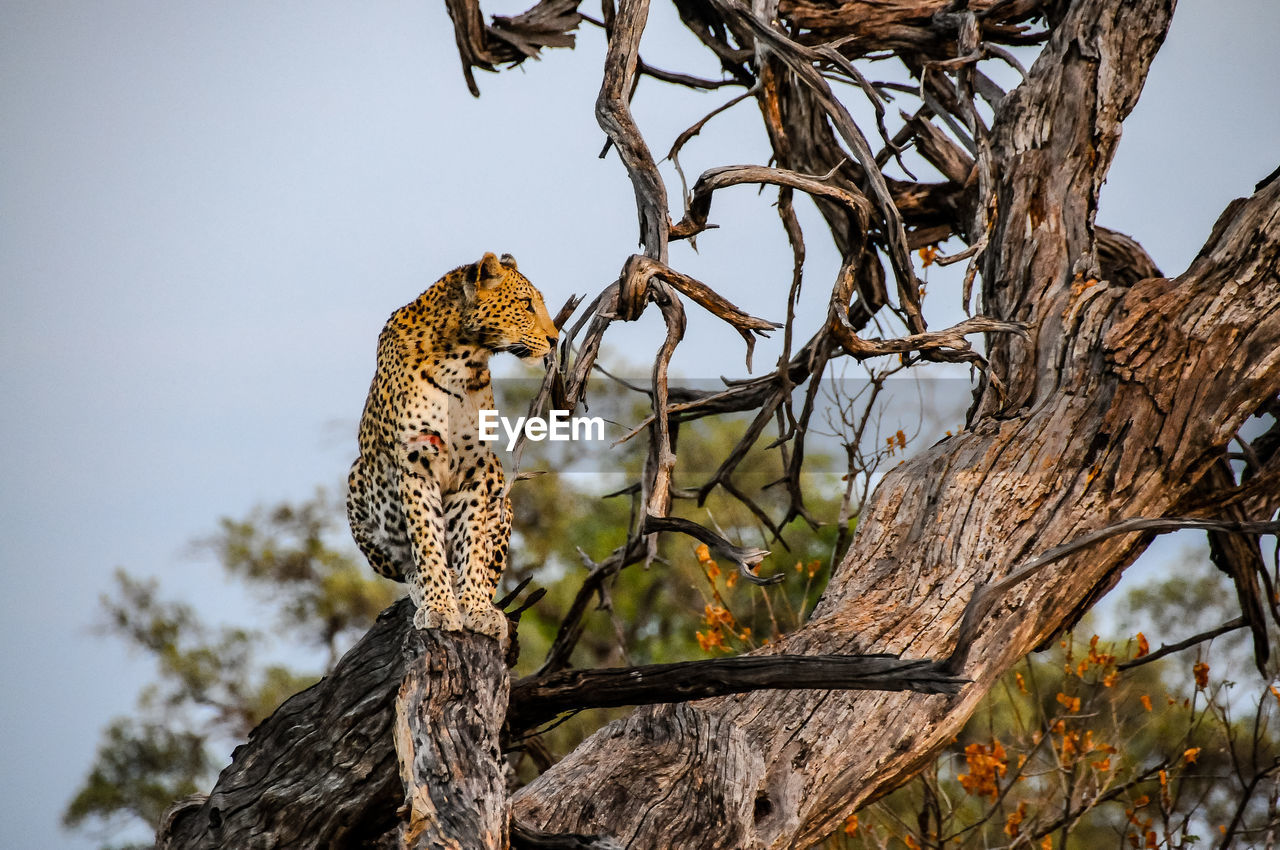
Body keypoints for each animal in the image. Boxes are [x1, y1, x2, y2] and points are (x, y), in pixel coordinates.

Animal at [348, 252, 558, 645]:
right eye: (526, 304)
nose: (555, 340)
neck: (463, 358)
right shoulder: (416, 463)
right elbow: (427, 541)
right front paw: (440, 606)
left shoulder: (475, 468)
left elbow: (472, 543)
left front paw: (476, 608)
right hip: (357, 479)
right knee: (405, 565)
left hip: (501, 491)